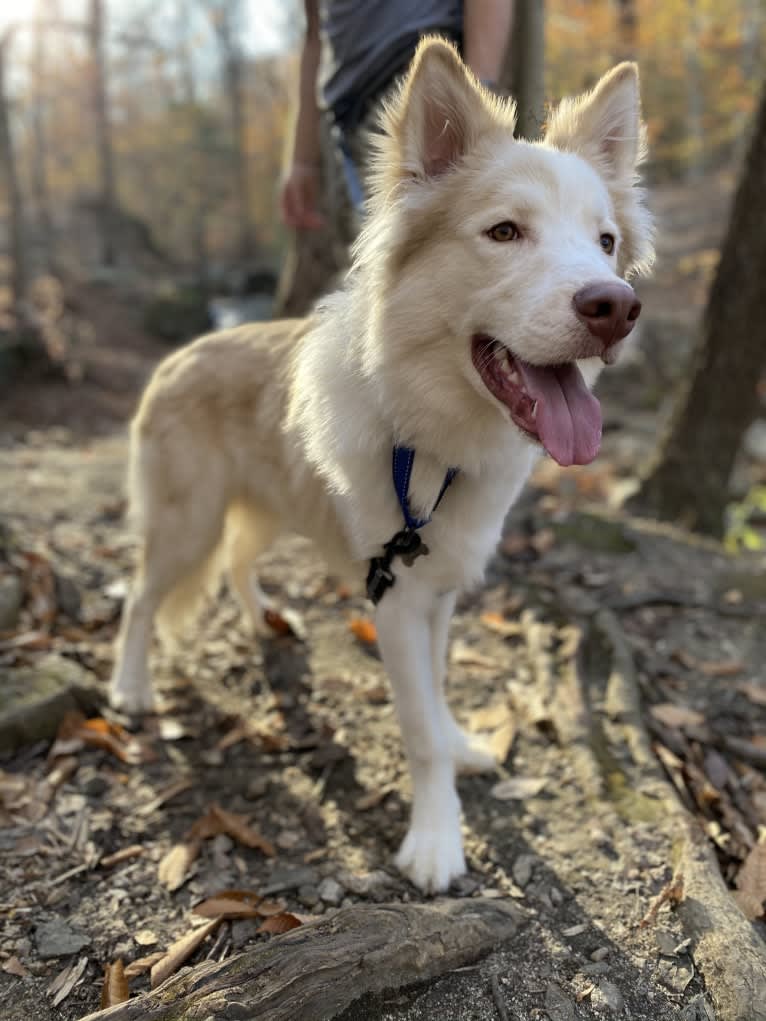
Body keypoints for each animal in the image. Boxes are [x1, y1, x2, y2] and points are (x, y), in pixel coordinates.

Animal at [110, 37, 657, 894]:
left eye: (604, 242)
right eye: (505, 232)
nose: (615, 309)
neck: (432, 438)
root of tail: (179, 354)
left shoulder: (438, 588)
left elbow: (437, 688)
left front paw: (462, 744)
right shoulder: (394, 593)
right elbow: (418, 726)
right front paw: (436, 840)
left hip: (264, 510)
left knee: (236, 561)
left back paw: (263, 618)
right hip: (185, 521)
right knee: (139, 597)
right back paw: (130, 688)